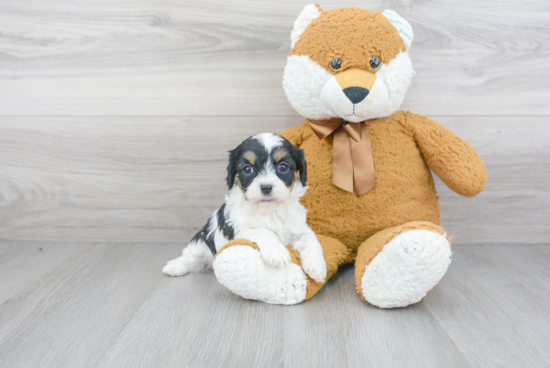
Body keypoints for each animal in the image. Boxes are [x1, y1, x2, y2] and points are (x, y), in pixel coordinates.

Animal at [163, 132, 328, 282]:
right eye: (248, 169)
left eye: (283, 167)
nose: (266, 187)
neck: (269, 211)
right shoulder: (239, 230)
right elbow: (262, 231)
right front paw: (277, 253)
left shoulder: (298, 227)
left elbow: (311, 238)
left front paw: (318, 267)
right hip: (201, 242)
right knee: (191, 256)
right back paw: (174, 267)